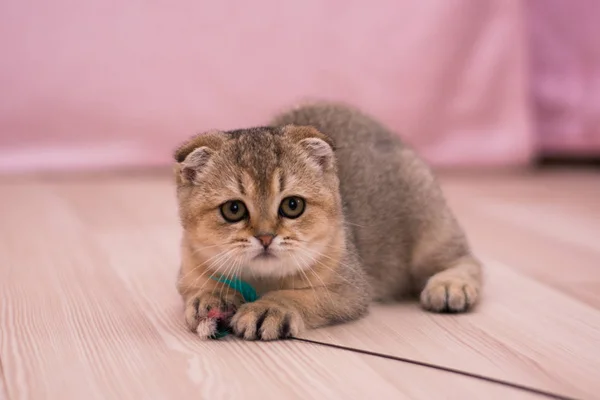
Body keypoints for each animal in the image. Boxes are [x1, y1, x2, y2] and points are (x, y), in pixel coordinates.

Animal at [173, 101, 482, 340]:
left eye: (292, 205)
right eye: (234, 209)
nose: (265, 237)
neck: (262, 279)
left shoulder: (351, 289)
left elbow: (303, 295)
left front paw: (270, 308)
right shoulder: (189, 265)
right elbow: (196, 287)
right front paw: (212, 297)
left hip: (429, 227)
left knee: (467, 260)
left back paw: (450, 285)